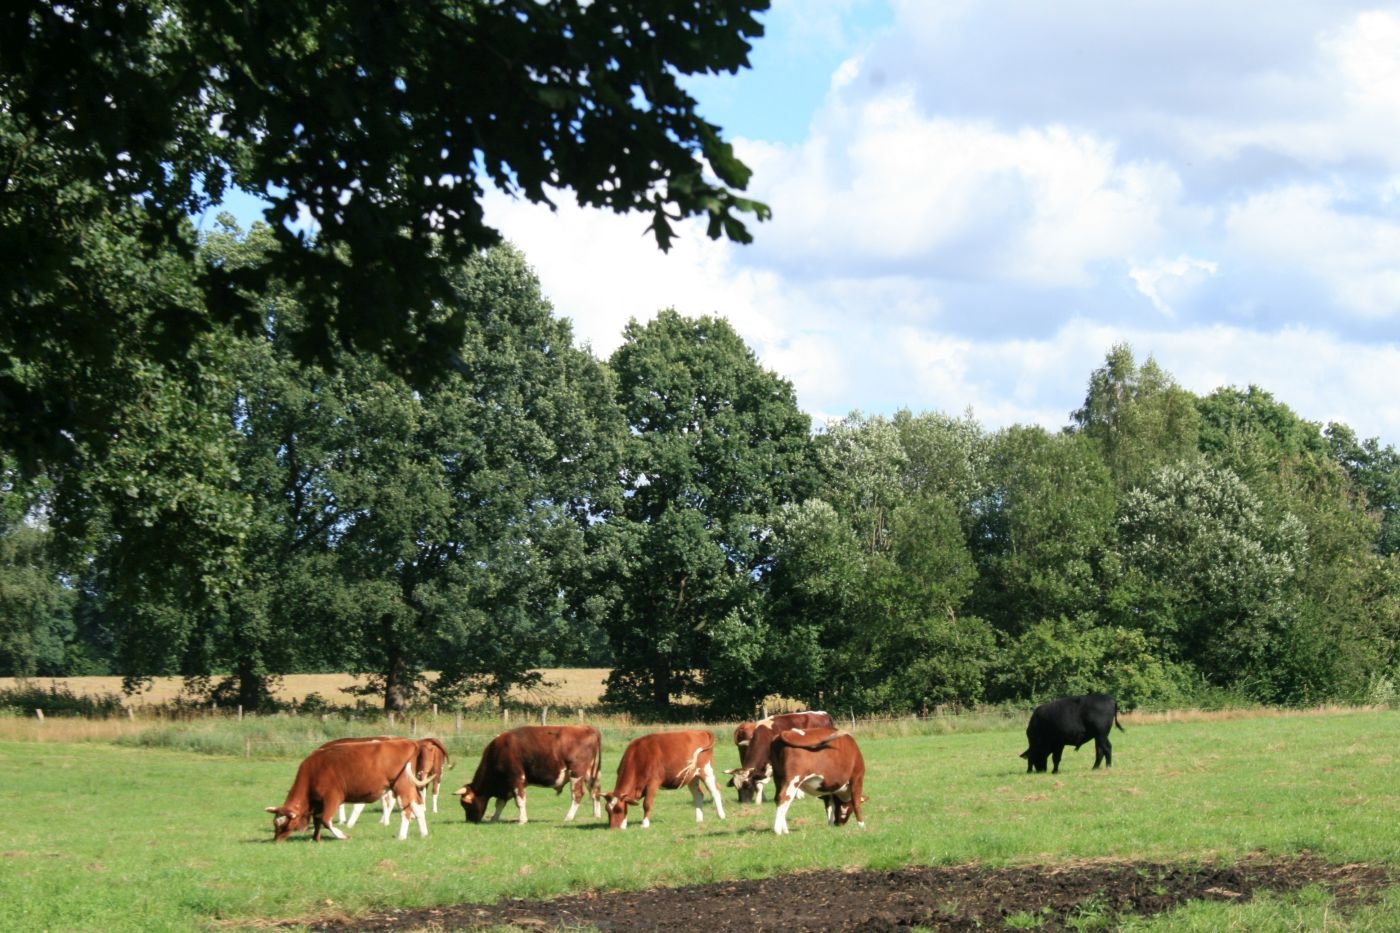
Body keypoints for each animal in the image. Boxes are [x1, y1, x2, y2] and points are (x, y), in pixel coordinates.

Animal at [266, 736, 430, 842]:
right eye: (275, 823)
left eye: (283, 824)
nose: (276, 840)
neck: (313, 772)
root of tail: (410, 742)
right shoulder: (318, 803)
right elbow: (317, 819)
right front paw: (315, 838)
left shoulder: (332, 797)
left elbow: (325, 820)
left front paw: (343, 836)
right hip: (409, 786)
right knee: (417, 806)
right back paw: (423, 833)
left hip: (401, 786)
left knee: (406, 810)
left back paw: (402, 836)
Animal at [453, 725, 602, 824]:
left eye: (465, 804)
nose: (470, 821)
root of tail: (586, 728)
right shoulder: (505, 786)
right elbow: (499, 803)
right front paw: (494, 818)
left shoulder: (515, 779)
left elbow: (520, 801)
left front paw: (522, 820)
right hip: (590, 774)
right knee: (595, 791)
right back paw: (596, 815)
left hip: (576, 773)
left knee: (577, 795)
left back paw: (568, 817)